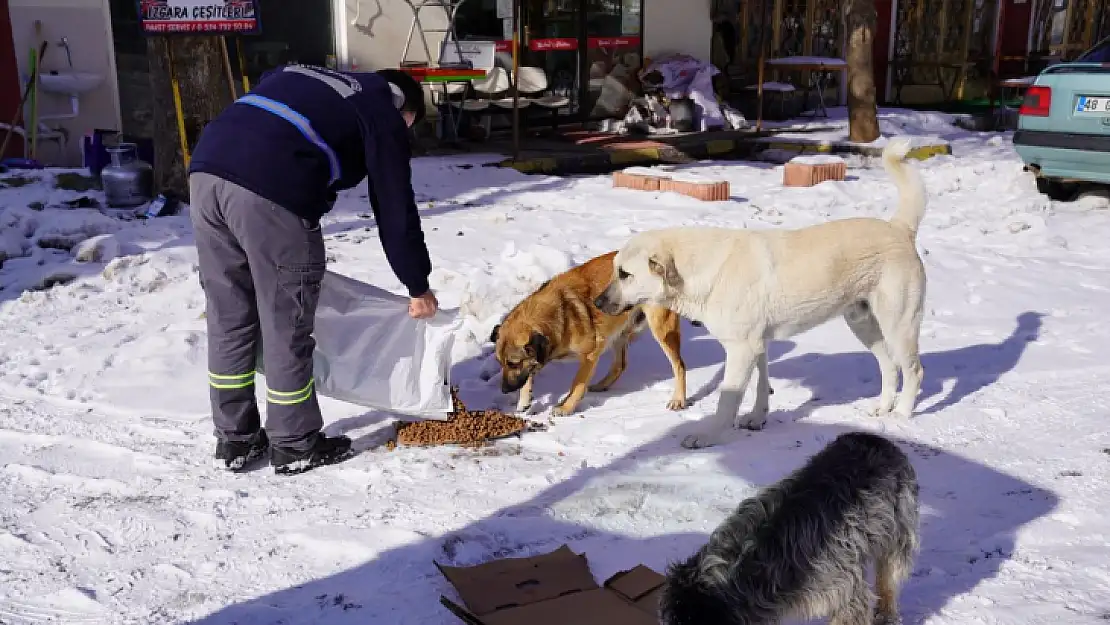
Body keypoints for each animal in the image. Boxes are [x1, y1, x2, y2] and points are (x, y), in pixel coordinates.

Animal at [492, 249, 683, 415]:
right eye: (501, 363)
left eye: (513, 363)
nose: (504, 390)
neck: (560, 315)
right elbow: (530, 373)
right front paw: (524, 400)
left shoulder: (591, 354)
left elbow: (577, 383)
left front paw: (566, 407)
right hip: (619, 333)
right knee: (620, 365)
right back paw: (601, 385)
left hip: (661, 329)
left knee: (679, 365)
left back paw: (679, 399)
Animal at [599, 138, 927, 448]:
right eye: (614, 270)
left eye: (625, 274)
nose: (597, 302)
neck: (703, 269)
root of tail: (899, 229)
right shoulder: (758, 345)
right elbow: (761, 384)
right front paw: (757, 418)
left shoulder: (741, 348)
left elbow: (727, 400)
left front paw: (708, 437)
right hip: (862, 323)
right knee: (889, 366)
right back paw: (883, 408)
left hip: (898, 324)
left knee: (913, 370)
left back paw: (901, 415)